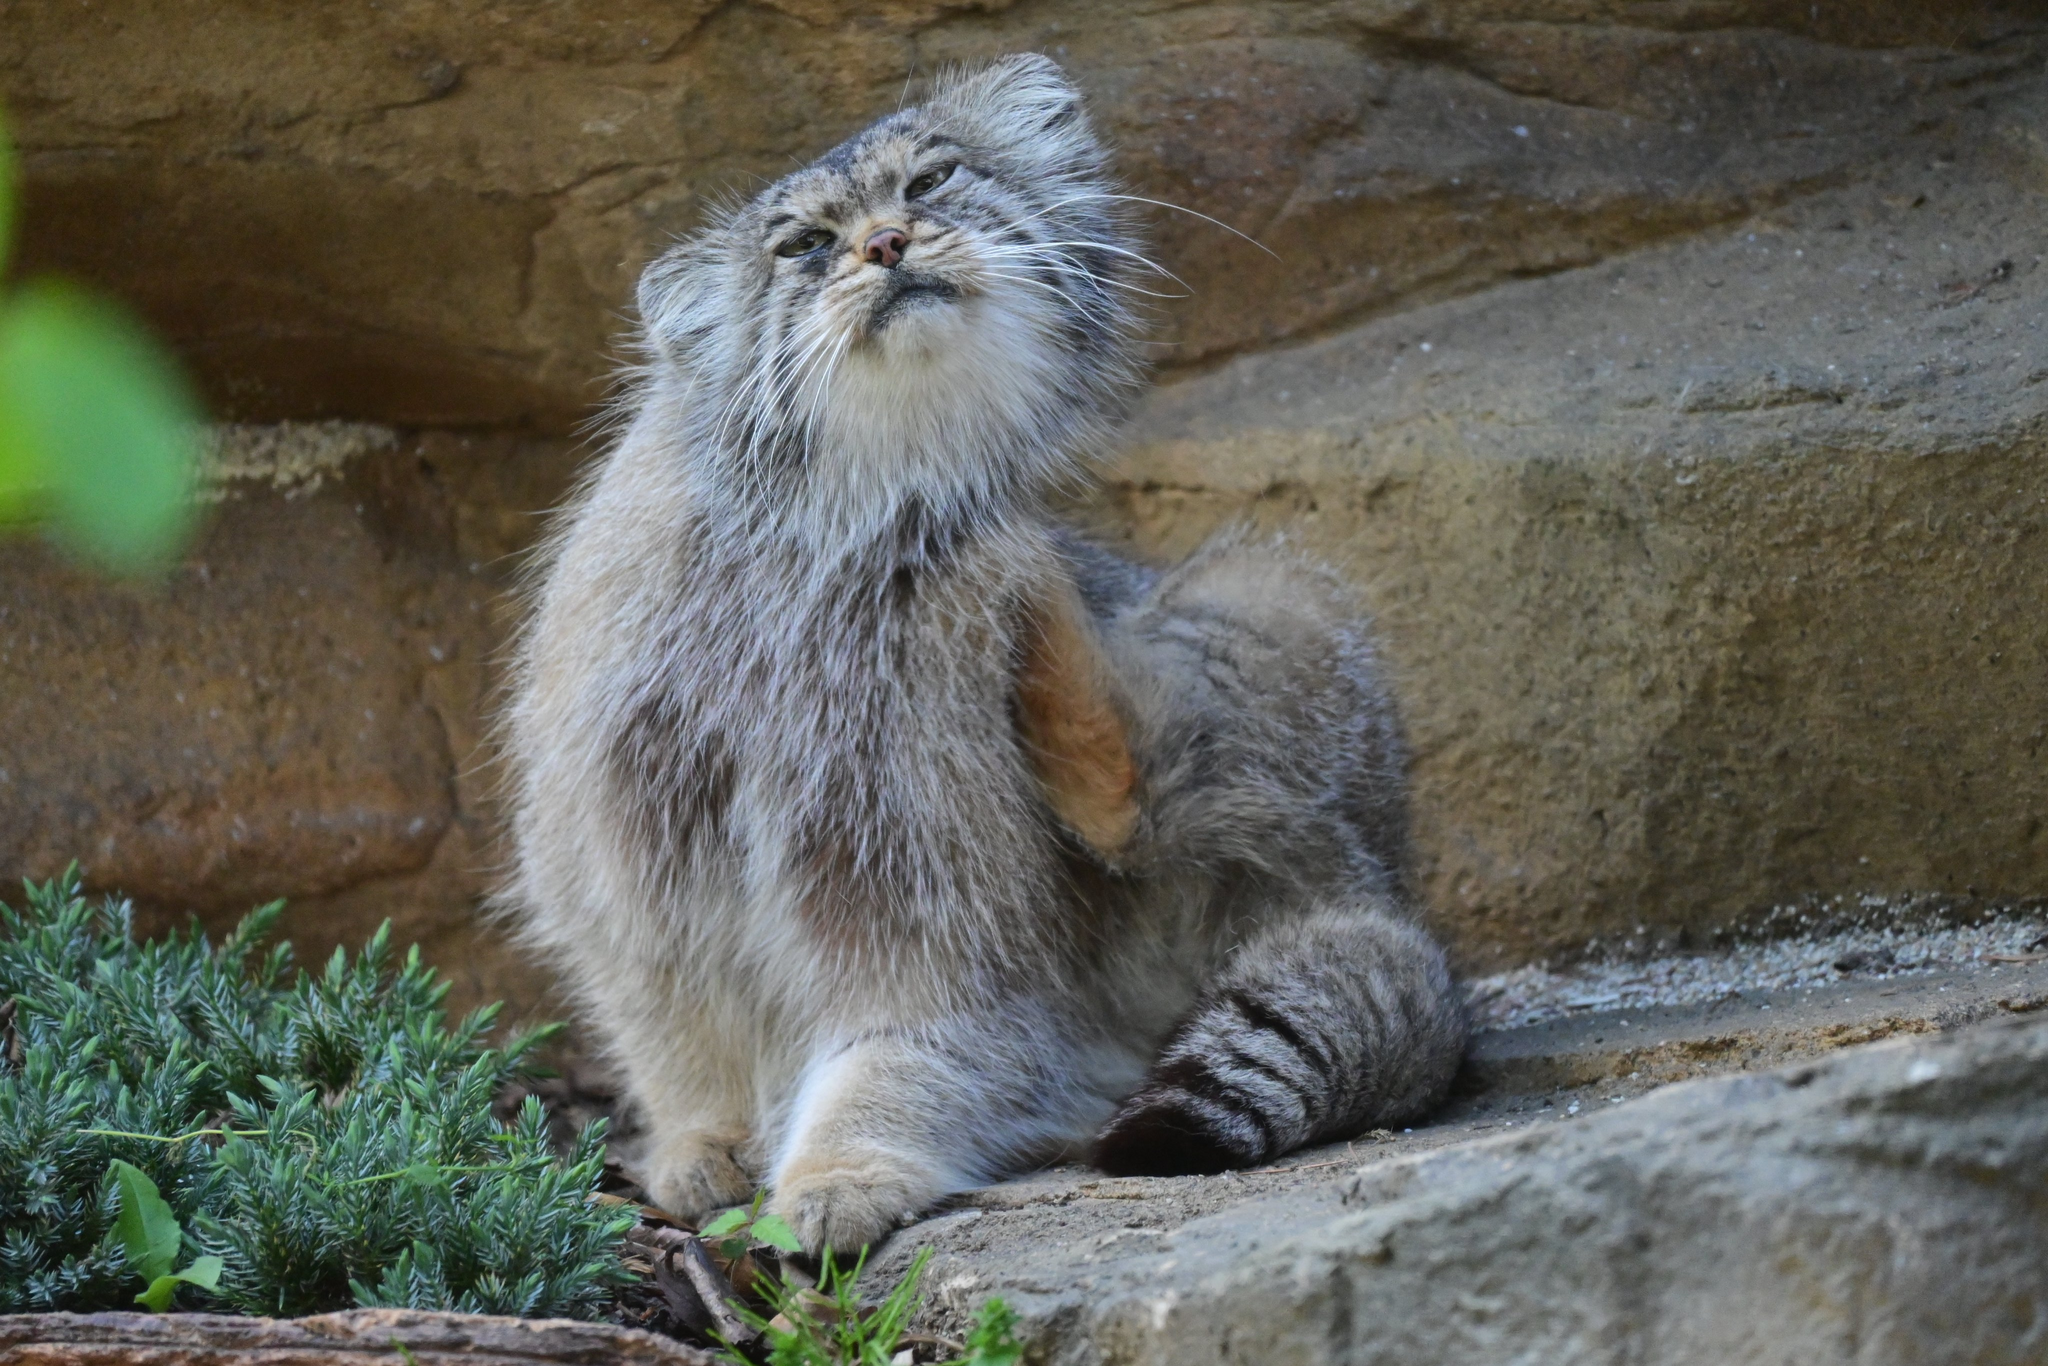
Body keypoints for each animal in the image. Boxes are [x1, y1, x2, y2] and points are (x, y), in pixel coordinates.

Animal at [512, 50, 1474, 1253]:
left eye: (929, 182)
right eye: (804, 245)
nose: (884, 244)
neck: (835, 515)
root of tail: (1379, 898)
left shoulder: (920, 878)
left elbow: (907, 1044)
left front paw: (840, 1166)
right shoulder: (622, 862)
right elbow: (671, 1029)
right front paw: (699, 1141)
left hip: (1269, 596)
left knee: (1138, 788)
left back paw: (1035, 604)